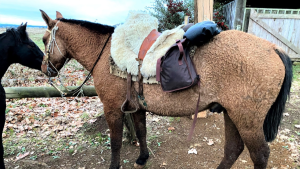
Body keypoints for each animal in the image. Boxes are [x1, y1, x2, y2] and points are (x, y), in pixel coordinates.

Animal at [39, 10, 292, 169]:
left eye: (43, 39)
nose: (44, 69)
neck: (106, 54)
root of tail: (273, 48)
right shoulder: (136, 107)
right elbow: (141, 132)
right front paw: (142, 158)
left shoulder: (112, 109)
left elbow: (116, 142)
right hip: (232, 114)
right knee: (233, 149)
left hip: (247, 120)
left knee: (259, 155)